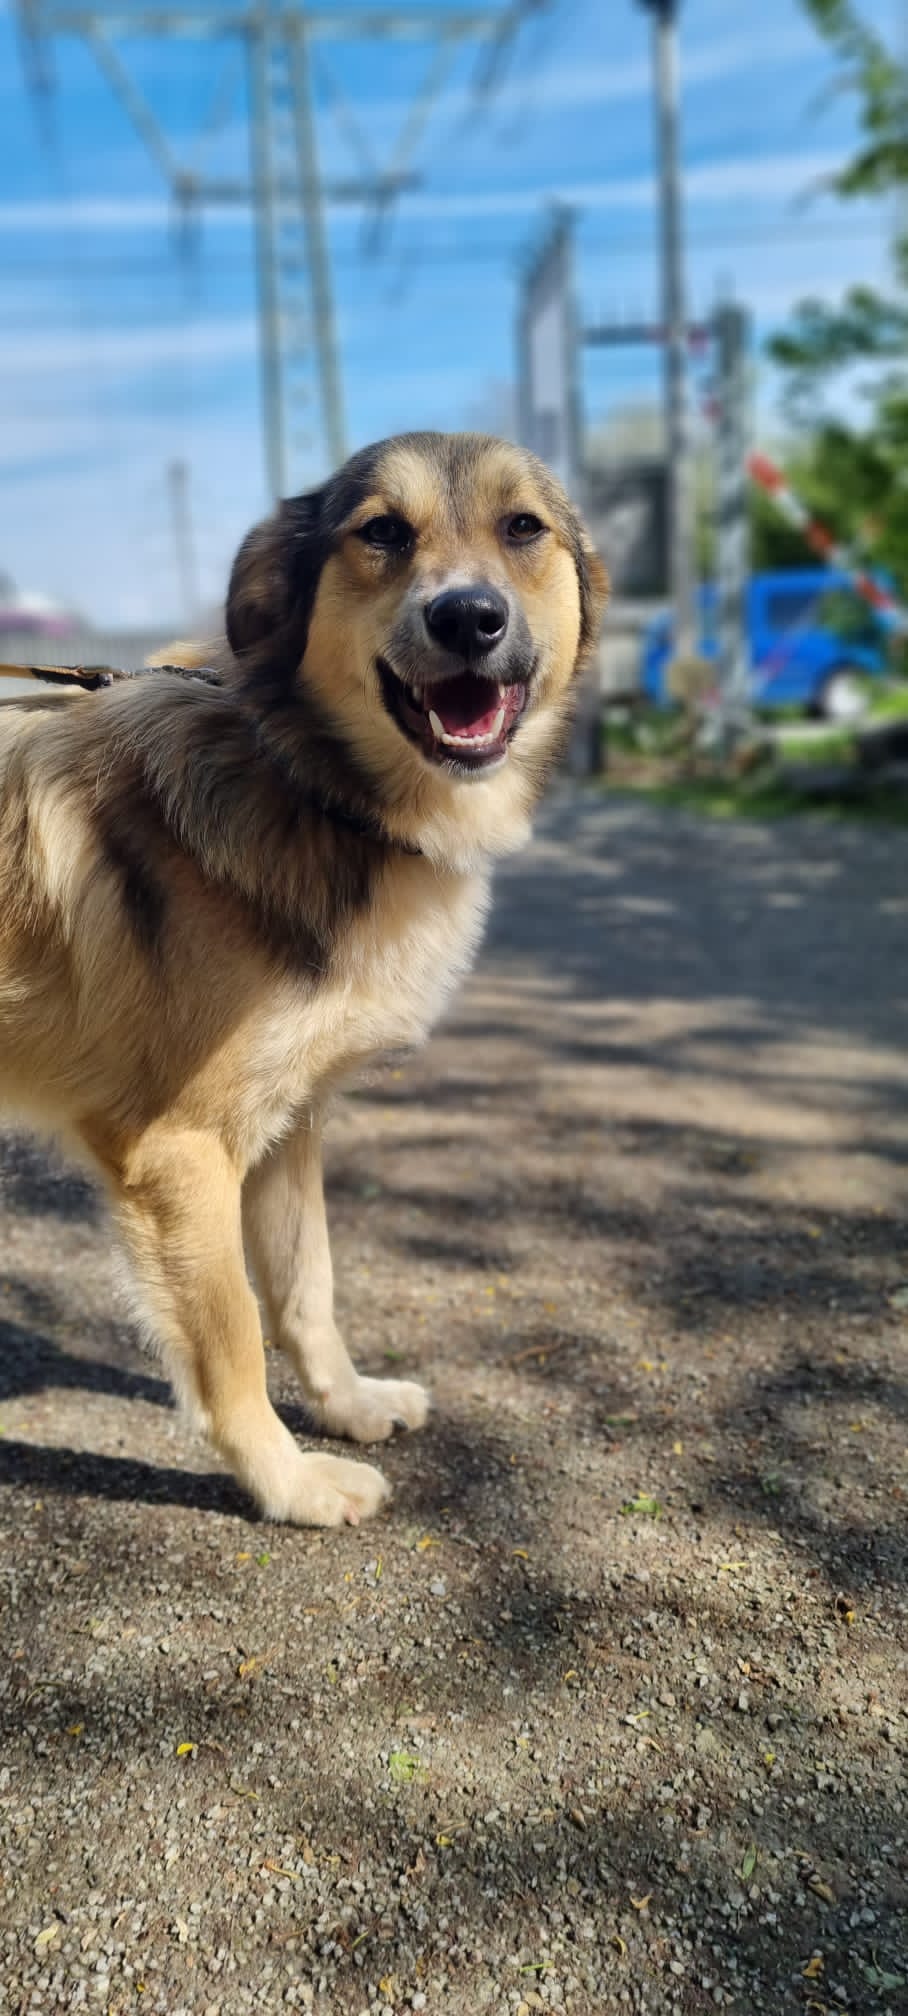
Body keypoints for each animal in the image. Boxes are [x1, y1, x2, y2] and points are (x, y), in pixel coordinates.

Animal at [0, 432, 607, 1525]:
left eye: (522, 528)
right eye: (382, 533)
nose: (467, 617)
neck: (306, 784)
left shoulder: (288, 1125)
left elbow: (304, 1287)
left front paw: (346, 1405)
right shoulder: (180, 1155)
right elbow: (233, 1337)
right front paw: (287, 1484)